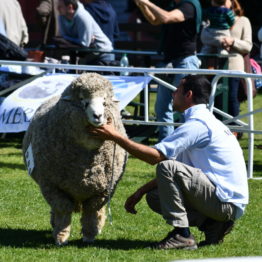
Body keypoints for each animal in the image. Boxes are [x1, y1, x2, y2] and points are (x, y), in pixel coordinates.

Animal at [22, 72, 128, 246]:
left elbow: (91, 211)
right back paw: (55, 224)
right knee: (57, 210)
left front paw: (89, 235)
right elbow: (63, 208)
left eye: (104, 102)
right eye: (84, 101)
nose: (98, 116)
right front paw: (61, 236)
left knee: (97, 211)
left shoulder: (103, 189)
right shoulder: (51, 186)